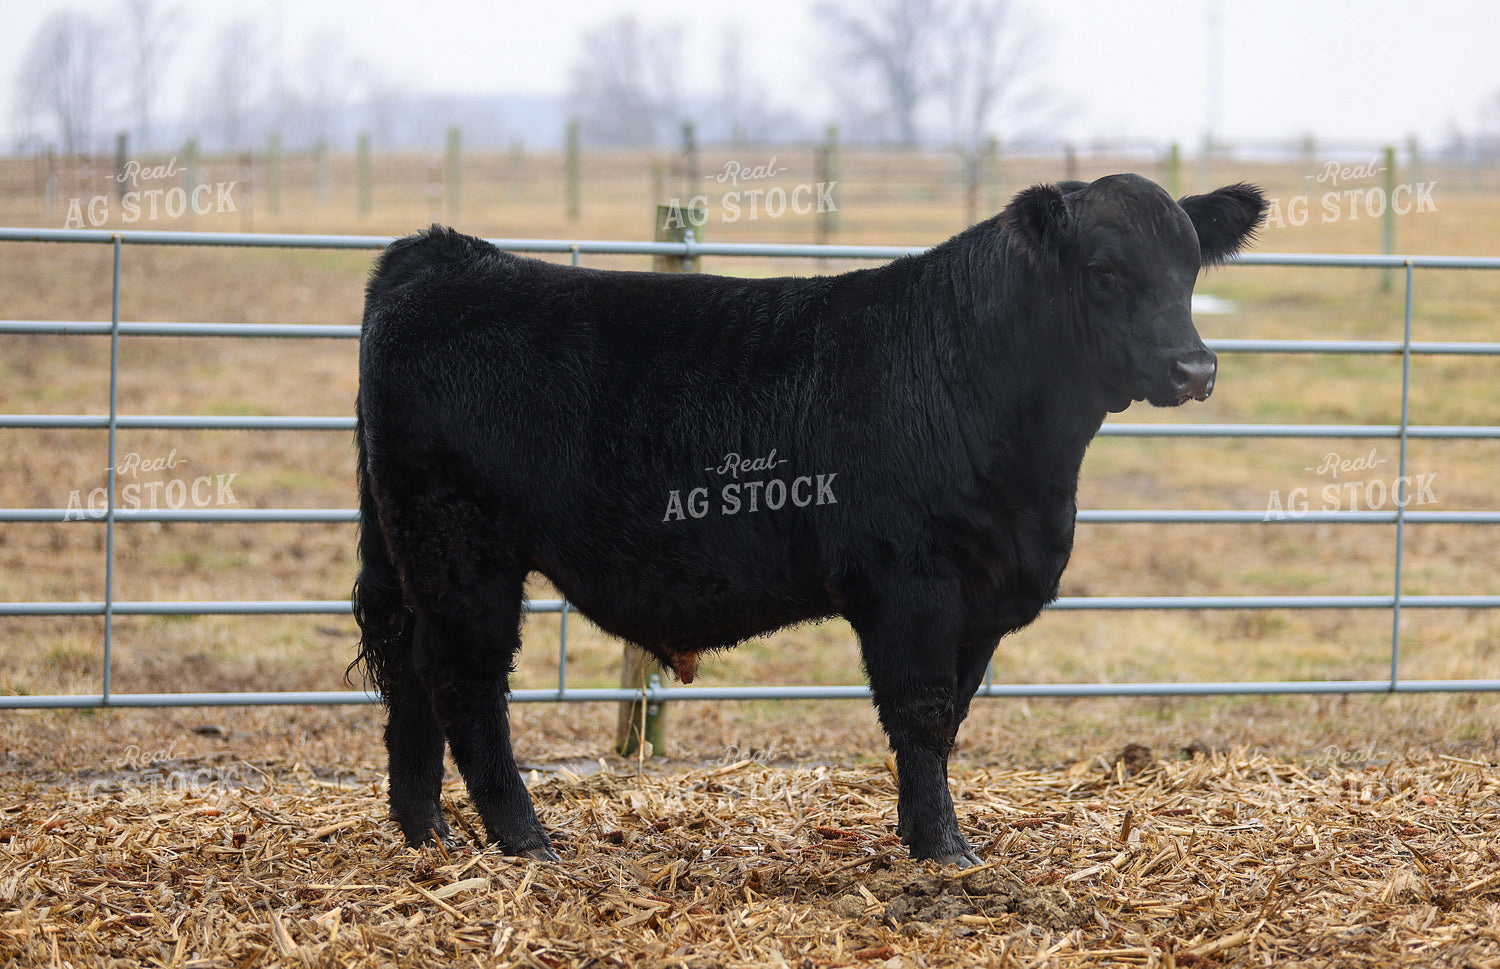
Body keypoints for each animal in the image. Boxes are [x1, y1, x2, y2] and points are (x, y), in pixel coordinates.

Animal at [352, 173, 1268, 866]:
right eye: (1106, 271)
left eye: (1191, 269)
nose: (1195, 367)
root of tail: (443, 253)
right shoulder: (913, 584)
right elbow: (922, 711)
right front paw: (944, 848)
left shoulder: (981, 602)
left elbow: (950, 719)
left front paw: (921, 831)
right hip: (461, 546)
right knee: (464, 679)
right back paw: (523, 839)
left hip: (407, 550)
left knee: (408, 670)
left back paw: (426, 834)